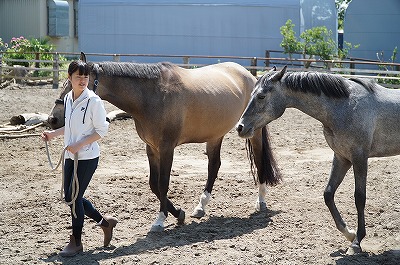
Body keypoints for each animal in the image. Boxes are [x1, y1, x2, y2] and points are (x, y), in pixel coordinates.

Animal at [47, 52, 282, 230]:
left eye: (76, 85)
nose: (53, 119)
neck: (152, 96)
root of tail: (249, 76)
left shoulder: (167, 148)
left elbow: (163, 183)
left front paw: (160, 220)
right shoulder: (151, 148)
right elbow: (154, 183)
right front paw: (178, 213)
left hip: (253, 132)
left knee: (259, 161)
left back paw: (261, 201)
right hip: (215, 135)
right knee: (214, 166)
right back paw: (201, 206)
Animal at [238, 65, 400, 253]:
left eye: (262, 96)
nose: (240, 127)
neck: (344, 107)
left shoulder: (359, 158)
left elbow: (360, 198)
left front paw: (357, 242)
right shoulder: (342, 157)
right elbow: (328, 194)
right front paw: (349, 233)